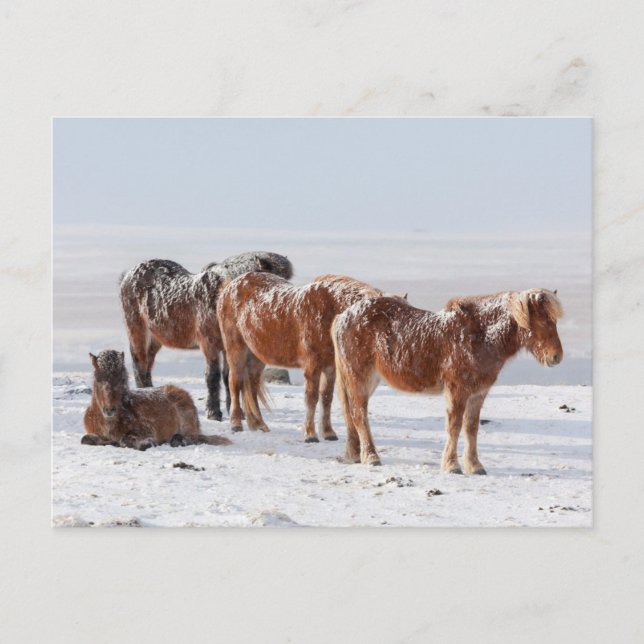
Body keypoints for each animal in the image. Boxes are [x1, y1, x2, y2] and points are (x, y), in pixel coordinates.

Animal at [81, 350, 232, 450]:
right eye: (98, 380)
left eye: (122, 380)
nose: (109, 409)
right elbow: (85, 439)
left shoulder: (147, 430)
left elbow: (126, 440)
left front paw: (148, 443)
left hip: (187, 424)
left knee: (191, 438)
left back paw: (175, 440)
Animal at [119, 251, 293, 421]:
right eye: (273, 281)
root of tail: (128, 275)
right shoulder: (209, 345)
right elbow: (213, 376)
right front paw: (213, 412)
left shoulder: (229, 347)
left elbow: (229, 377)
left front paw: (235, 412)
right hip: (138, 331)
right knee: (140, 363)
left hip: (156, 338)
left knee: (147, 364)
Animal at [216, 273, 386, 441]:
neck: (328, 310)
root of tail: (230, 285)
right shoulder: (312, 366)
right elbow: (311, 398)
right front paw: (310, 434)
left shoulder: (330, 368)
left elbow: (326, 398)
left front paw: (328, 432)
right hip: (236, 349)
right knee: (235, 383)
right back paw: (236, 424)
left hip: (256, 356)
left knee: (252, 386)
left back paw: (259, 425)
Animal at [331, 289, 563, 471]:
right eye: (541, 320)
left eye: (554, 320)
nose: (556, 356)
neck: (480, 338)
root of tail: (342, 317)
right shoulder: (457, 390)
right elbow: (454, 426)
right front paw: (452, 465)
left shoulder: (478, 393)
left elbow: (471, 428)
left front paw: (474, 466)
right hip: (360, 378)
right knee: (359, 414)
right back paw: (371, 457)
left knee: (351, 414)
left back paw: (355, 454)